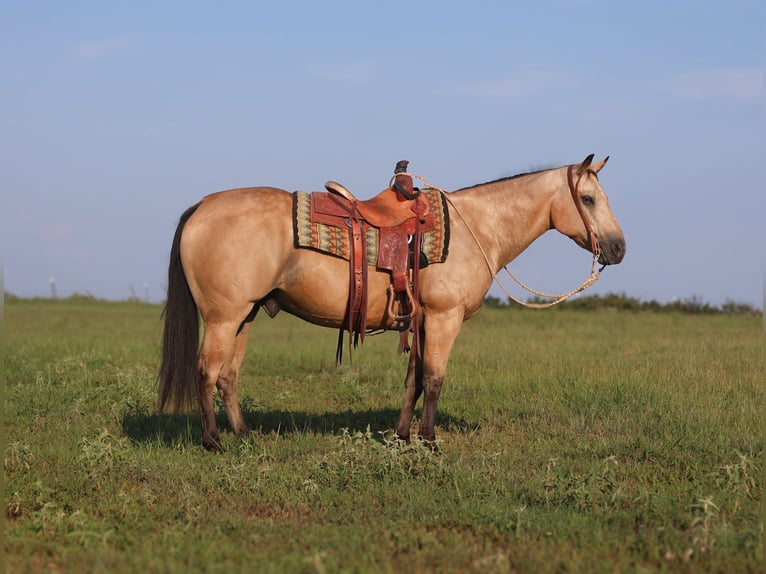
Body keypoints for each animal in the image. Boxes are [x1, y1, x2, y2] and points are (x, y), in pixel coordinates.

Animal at [158, 154, 626, 451]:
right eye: (588, 199)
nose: (619, 248)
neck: (476, 227)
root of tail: (202, 207)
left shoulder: (422, 321)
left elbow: (413, 380)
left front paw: (402, 435)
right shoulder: (444, 318)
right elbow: (434, 379)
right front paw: (430, 441)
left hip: (245, 316)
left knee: (227, 376)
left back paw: (243, 434)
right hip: (224, 317)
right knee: (206, 371)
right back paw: (213, 441)